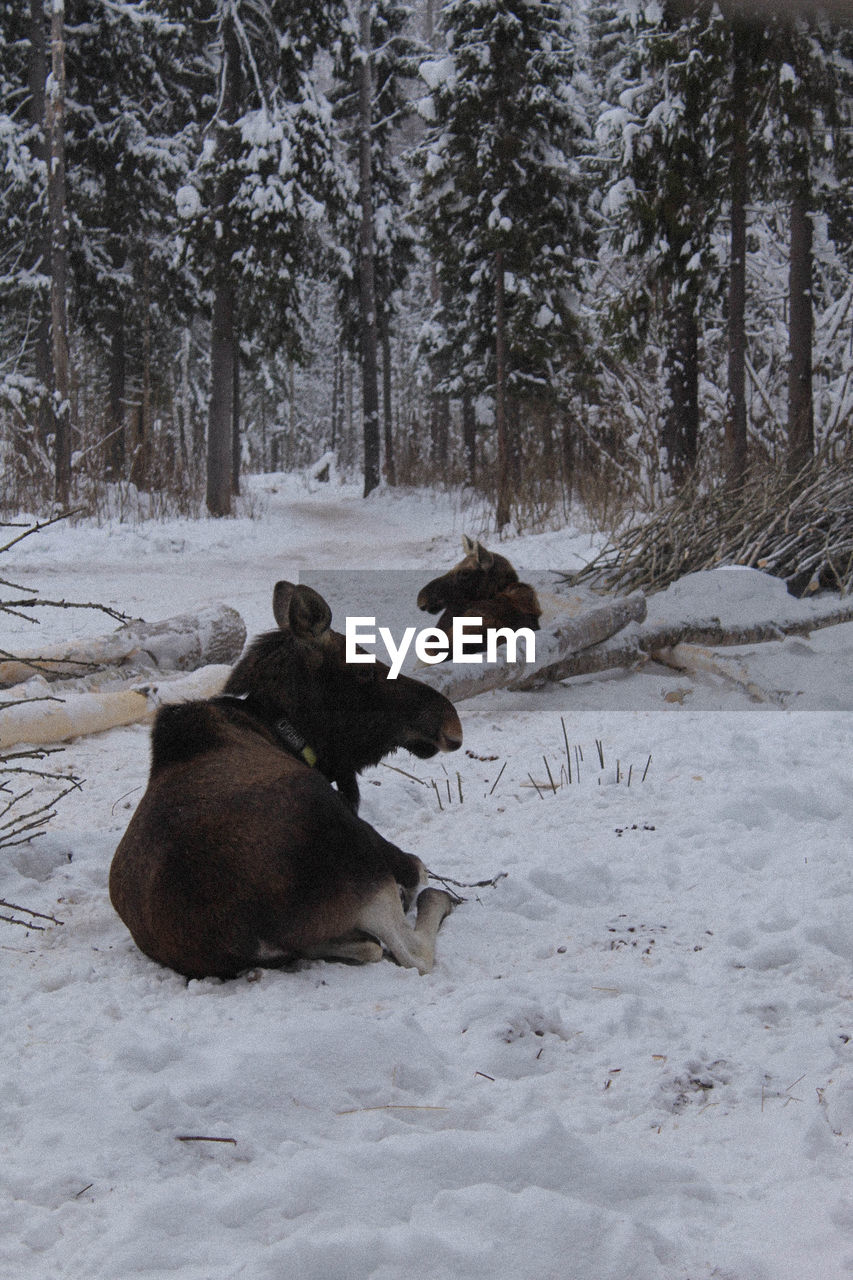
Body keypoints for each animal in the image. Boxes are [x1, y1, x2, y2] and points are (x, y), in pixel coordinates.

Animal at [111, 581, 466, 977]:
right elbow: (418, 868)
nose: (449, 721)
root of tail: (245, 934)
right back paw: (436, 901)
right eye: (362, 671)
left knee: (364, 948)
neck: (279, 727)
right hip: (360, 859)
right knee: (411, 949)